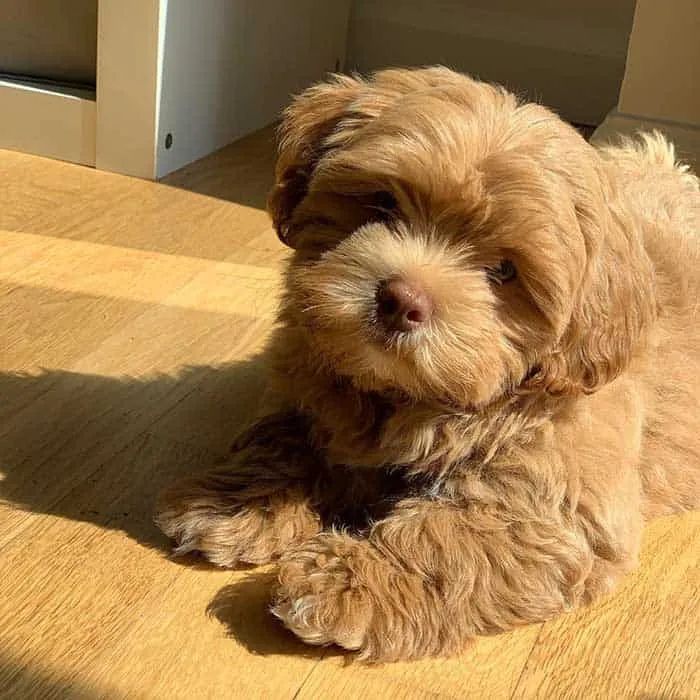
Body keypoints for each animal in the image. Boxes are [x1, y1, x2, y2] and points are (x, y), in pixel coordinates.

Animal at [159, 67, 700, 660]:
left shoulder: (555, 502)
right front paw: (234, 505)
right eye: (383, 203)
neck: (407, 394)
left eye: (505, 271)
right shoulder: (309, 385)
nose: (401, 299)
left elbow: (450, 539)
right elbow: (284, 437)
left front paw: (346, 582)